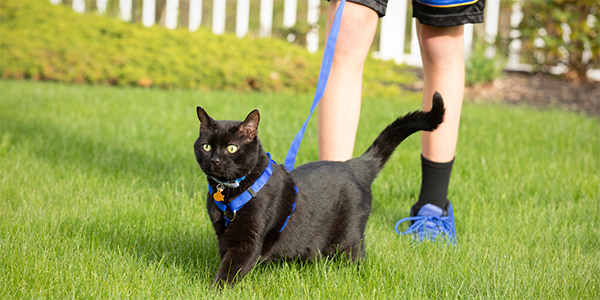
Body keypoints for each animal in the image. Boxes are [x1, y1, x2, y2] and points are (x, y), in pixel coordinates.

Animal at [193, 91, 446, 286]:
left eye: (232, 148)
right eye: (206, 147)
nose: (215, 160)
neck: (228, 193)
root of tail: (354, 165)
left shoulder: (247, 241)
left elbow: (230, 269)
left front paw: (214, 291)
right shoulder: (223, 236)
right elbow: (226, 260)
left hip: (348, 238)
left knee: (356, 257)